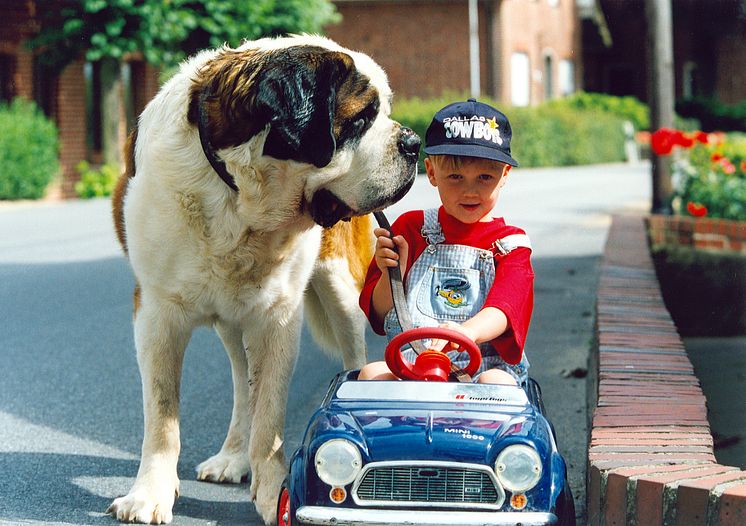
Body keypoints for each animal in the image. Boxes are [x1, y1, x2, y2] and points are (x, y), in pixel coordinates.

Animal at [107, 35, 418, 524]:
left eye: (385, 110)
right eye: (362, 117)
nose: (414, 142)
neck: (237, 200)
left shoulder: (277, 316)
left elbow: (269, 412)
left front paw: (274, 495)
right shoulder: (156, 313)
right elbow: (162, 416)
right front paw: (149, 495)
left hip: (339, 288)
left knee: (348, 354)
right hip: (233, 319)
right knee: (241, 383)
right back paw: (232, 456)